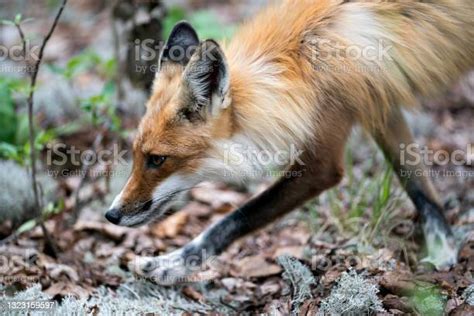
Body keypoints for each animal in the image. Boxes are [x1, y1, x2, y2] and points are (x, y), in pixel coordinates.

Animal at [105, 0, 474, 286]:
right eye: (135, 155)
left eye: (157, 159)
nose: (111, 214)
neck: (301, 63)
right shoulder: (380, 102)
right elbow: (418, 184)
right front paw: (443, 248)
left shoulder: (322, 160)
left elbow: (234, 219)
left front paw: (173, 264)